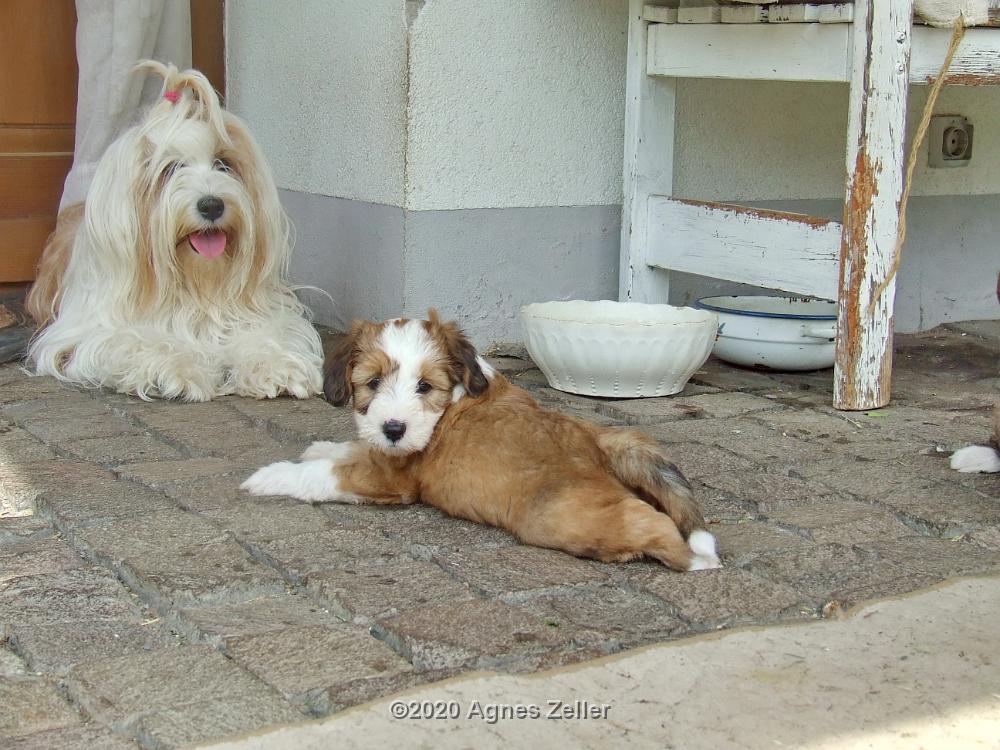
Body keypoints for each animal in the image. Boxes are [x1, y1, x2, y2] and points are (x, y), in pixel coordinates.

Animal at [27, 64, 322, 402]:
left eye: (223, 164)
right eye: (169, 169)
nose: (212, 204)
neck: (195, 287)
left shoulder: (256, 315)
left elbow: (265, 334)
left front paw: (276, 366)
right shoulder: (93, 332)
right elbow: (138, 341)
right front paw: (177, 370)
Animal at [246, 310, 724, 568]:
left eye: (425, 386)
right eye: (373, 383)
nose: (394, 429)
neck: (452, 400)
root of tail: (597, 440)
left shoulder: (390, 477)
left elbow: (321, 475)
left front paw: (268, 477)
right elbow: (346, 449)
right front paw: (322, 447)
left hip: (560, 516)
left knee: (651, 522)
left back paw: (694, 560)